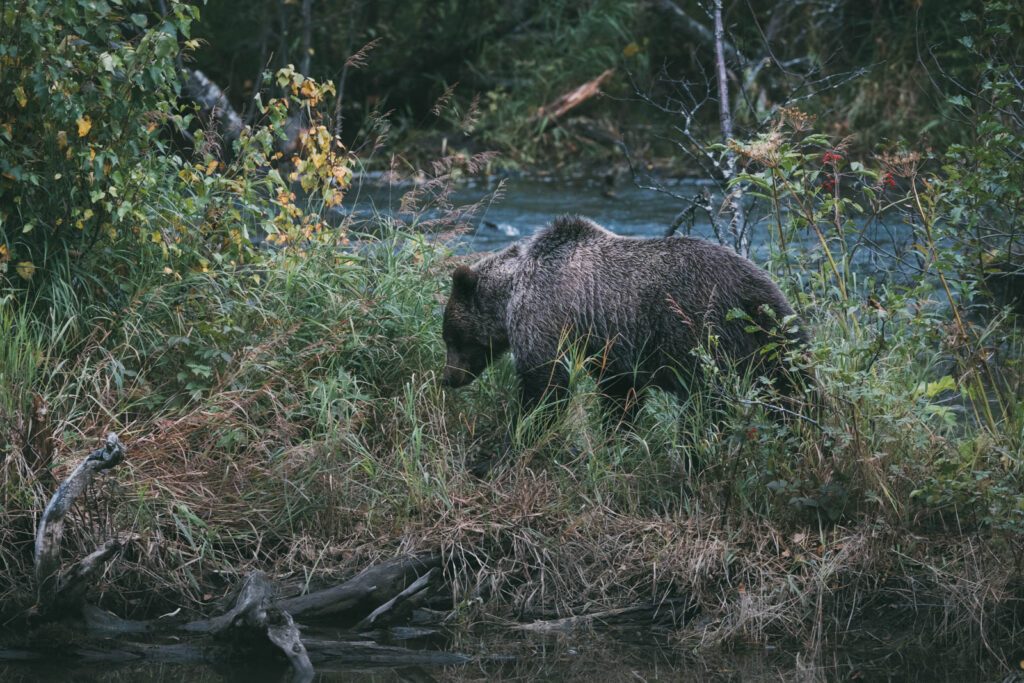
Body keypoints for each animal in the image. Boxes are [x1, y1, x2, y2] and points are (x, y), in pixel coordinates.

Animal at [440, 216, 806, 421]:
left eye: (450, 337)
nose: (447, 378)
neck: (512, 289)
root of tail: (752, 288)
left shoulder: (545, 311)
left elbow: (545, 382)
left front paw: (523, 428)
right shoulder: (608, 347)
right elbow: (620, 393)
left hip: (701, 330)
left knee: (707, 401)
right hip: (776, 330)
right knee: (793, 385)